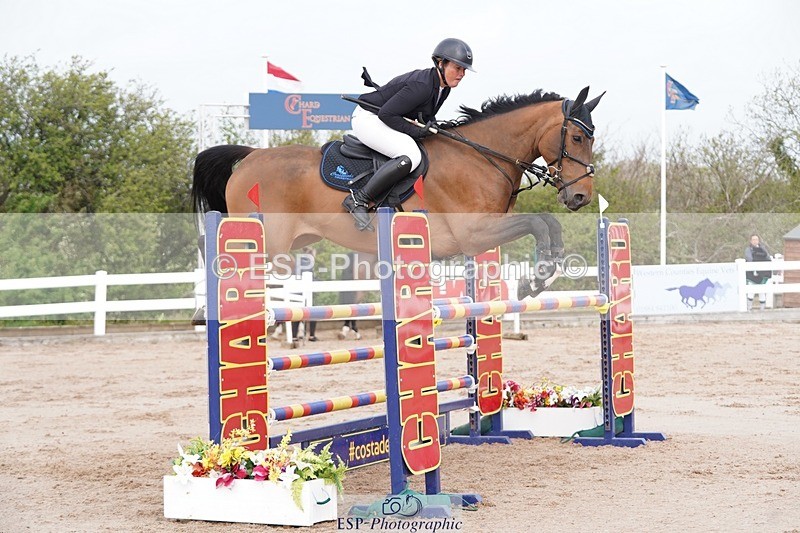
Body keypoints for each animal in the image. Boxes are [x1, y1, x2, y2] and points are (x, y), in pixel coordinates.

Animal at [191, 86, 604, 298]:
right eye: (577, 137)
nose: (581, 196)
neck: (481, 155)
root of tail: (249, 157)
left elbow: (548, 224)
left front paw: (540, 278)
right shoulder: (473, 233)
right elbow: (538, 222)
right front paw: (534, 279)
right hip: (266, 239)